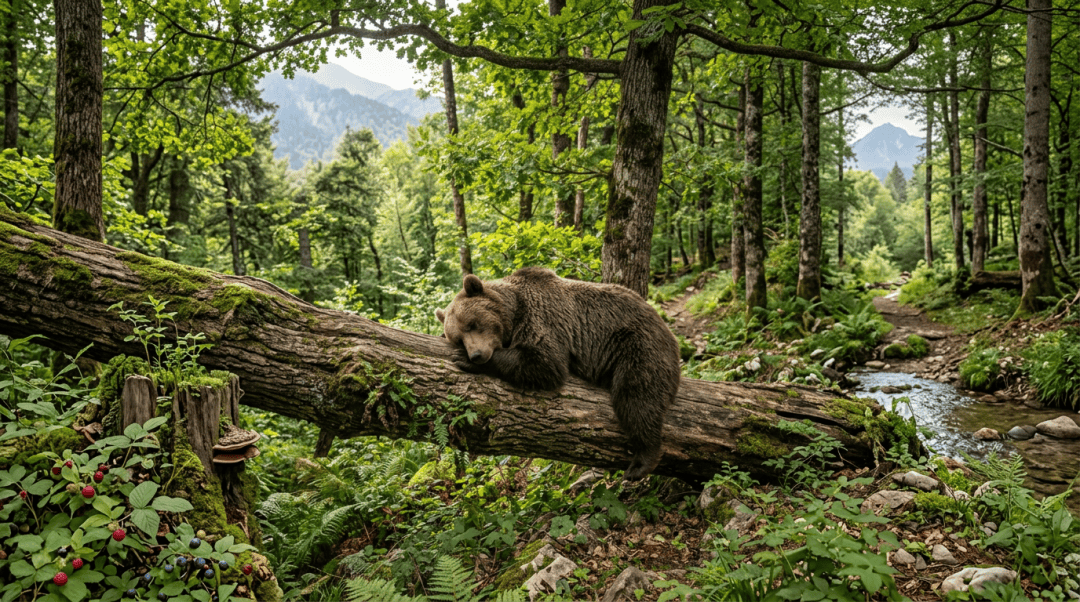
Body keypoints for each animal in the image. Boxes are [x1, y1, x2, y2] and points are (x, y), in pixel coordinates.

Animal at [435, 267, 681, 480]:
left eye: (472, 324)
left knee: (637, 396)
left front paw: (468, 362)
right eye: (458, 338)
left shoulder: (542, 316)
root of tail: (666, 329)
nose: (476, 355)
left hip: (637, 344)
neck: (514, 311)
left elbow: (545, 362)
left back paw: (641, 462)